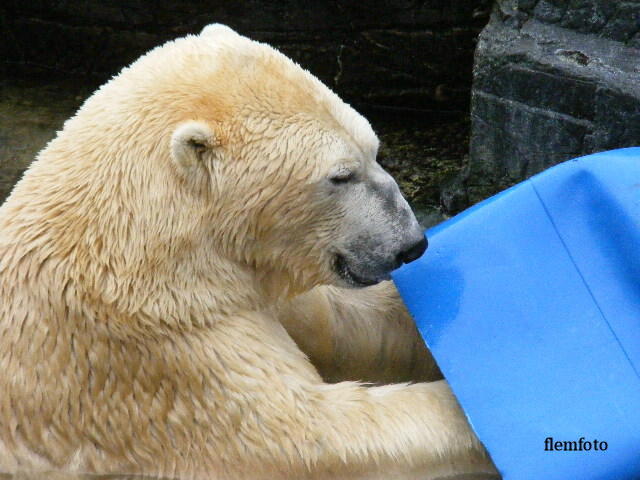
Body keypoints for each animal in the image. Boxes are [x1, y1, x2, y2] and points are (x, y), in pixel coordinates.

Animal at [0, 25, 496, 480]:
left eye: (375, 149)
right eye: (340, 175)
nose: (411, 243)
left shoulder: (251, 275)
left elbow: (345, 323)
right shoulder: (164, 350)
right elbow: (309, 437)